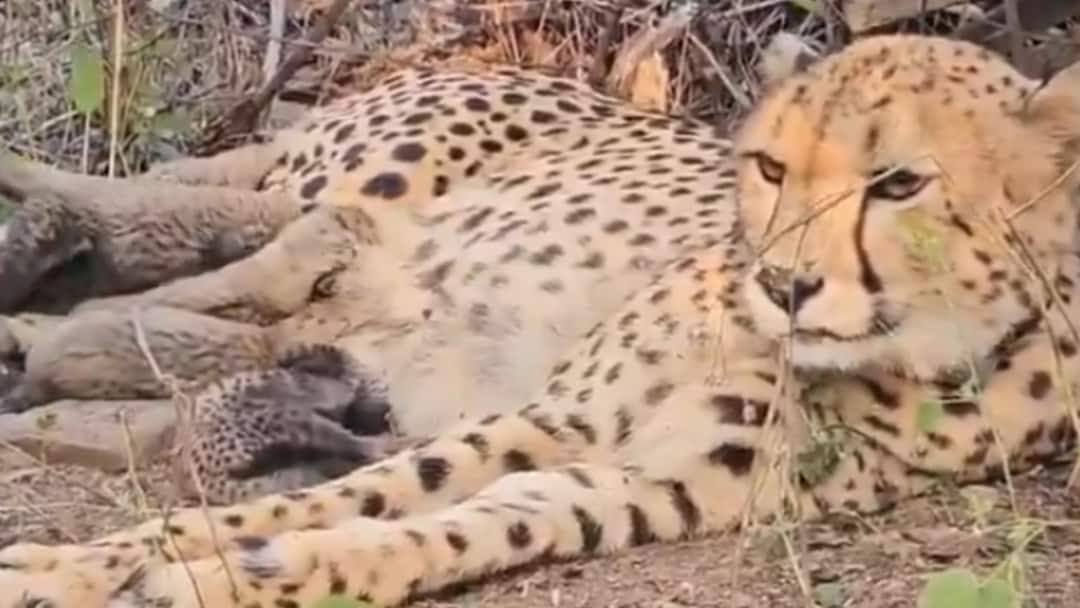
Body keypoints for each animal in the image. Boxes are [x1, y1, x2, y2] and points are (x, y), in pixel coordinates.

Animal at [1, 33, 1079, 608]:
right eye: (773, 167)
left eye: (899, 183)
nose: (782, 283)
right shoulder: (554, 416)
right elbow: (300, 500)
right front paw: (72, 562)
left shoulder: (646, 483)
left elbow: (456, 526)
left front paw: (252, 573)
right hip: (357, 183)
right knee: (209, 222)